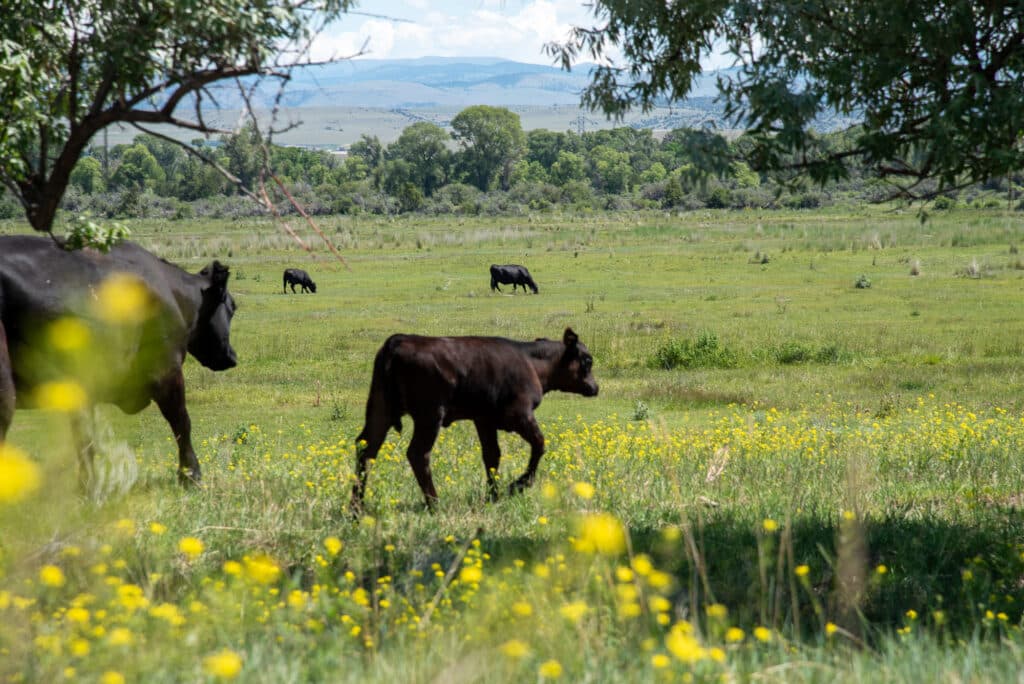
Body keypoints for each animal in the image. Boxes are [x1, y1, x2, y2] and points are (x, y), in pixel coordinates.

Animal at [0, 235, 237, 487]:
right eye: (232, 307)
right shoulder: (166, 370)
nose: (232, 356)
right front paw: (190, 475)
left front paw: (88, 485)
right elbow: (181, 421)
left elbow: (85, 439)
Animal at [349, 328, 598, 512]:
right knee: (418, 453)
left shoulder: (484, 419)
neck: (531, 362)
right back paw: (434, 504)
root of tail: (399, 340)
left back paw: (356, 508)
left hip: (380, 409)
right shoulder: (520, 414)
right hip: (430, 415)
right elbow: (539, 444)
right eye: (587, 360)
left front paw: (493, 495)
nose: (595, 387)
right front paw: (517, 486)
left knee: (366, 448)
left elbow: (492, 456)